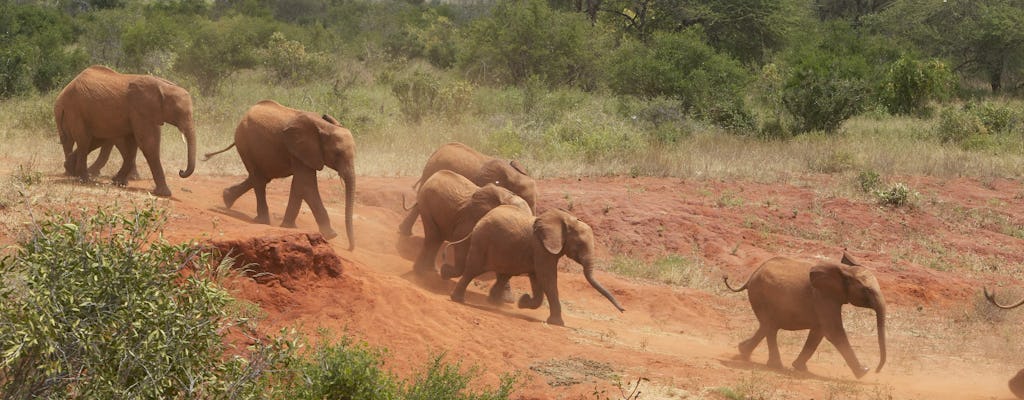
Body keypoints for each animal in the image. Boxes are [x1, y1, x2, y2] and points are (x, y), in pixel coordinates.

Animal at [54, 64, 196, 198]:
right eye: (179, 112)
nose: (181, 171)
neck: (164, 86)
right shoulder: (141, 109)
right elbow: (148, 143)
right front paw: (164, 194)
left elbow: (133, 145)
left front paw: (119, 182)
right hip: (74, 110)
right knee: (83, 141)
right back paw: (84, 179)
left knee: (90, 140)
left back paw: (71, 169)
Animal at [202, 100, 356, 250]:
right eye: (337, 154)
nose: (349, 248)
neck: (325, 127)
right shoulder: (300, 150)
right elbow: (306, 185)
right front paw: (332, 235)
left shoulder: (304, 154)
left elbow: (299, 185)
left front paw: (289, 227)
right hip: (245, 143)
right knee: (259, 180)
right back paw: (262, 221)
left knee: (261, 176)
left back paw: (227, 198)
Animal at [448, 206, 622, 325]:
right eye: (579, 244)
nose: (623, 310)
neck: (566, 220)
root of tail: (480, 220)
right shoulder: (541, 248)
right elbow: (547, 277)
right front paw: (557, 323)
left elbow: (538, 278)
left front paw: (522, 302)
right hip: (482, 241)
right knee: (473, 270)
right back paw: (458, 299)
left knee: (504, 275)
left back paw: (493, 303)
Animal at [720, 253, 888, 378]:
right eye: (867, 290)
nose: (876, 370)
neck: (845, 270)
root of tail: (751, 276)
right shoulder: (823, 297)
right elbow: (833, 332)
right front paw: (863, 372)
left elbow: (818, 332)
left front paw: (800, 368)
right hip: (761, 295)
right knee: (770, 327)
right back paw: (775, 366)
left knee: (768, 326)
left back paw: (743, 352)